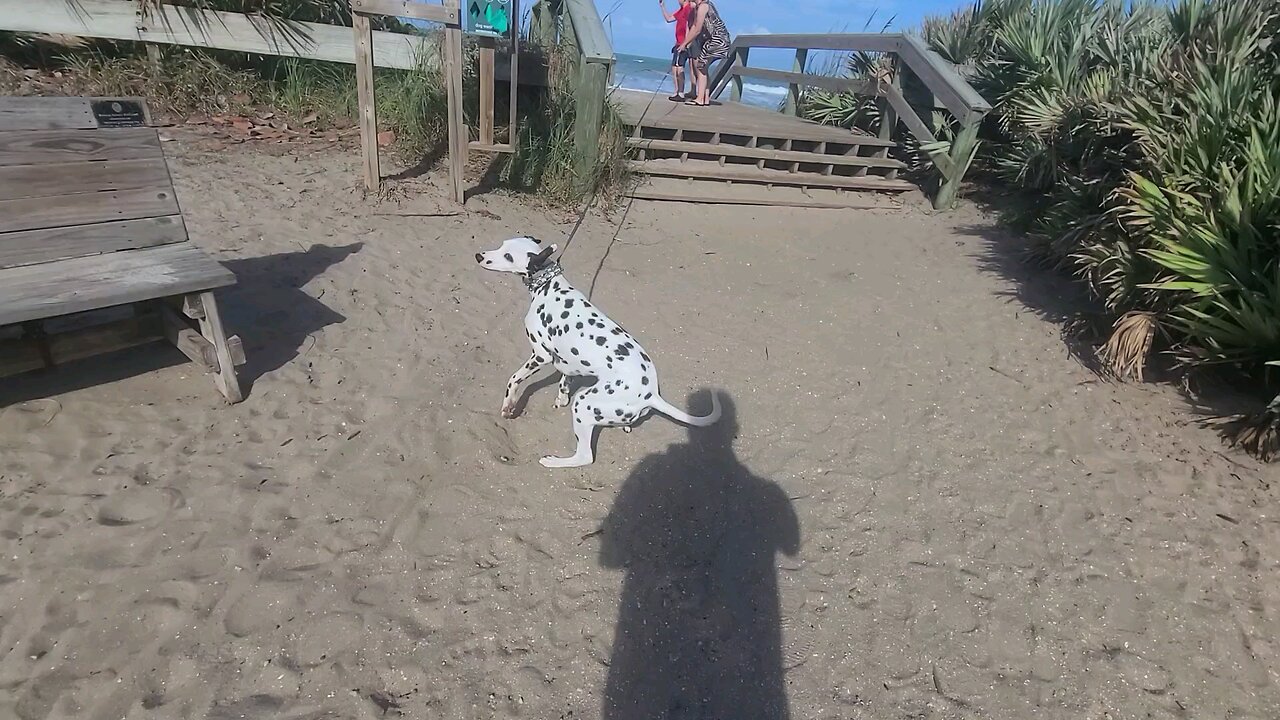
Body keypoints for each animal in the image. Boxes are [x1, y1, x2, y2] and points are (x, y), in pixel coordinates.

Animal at [478, 235, 721, 466]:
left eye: (508, 256)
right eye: (502, 245)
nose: (479, 256)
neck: (549, 288)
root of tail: (651, 394)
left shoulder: (541, 355)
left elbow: (514, 379)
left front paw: (509, 406)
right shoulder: (565, 360)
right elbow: (564, 379)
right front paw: (561, 397)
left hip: (583, 404)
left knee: (585, 456)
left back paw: (554, 461)